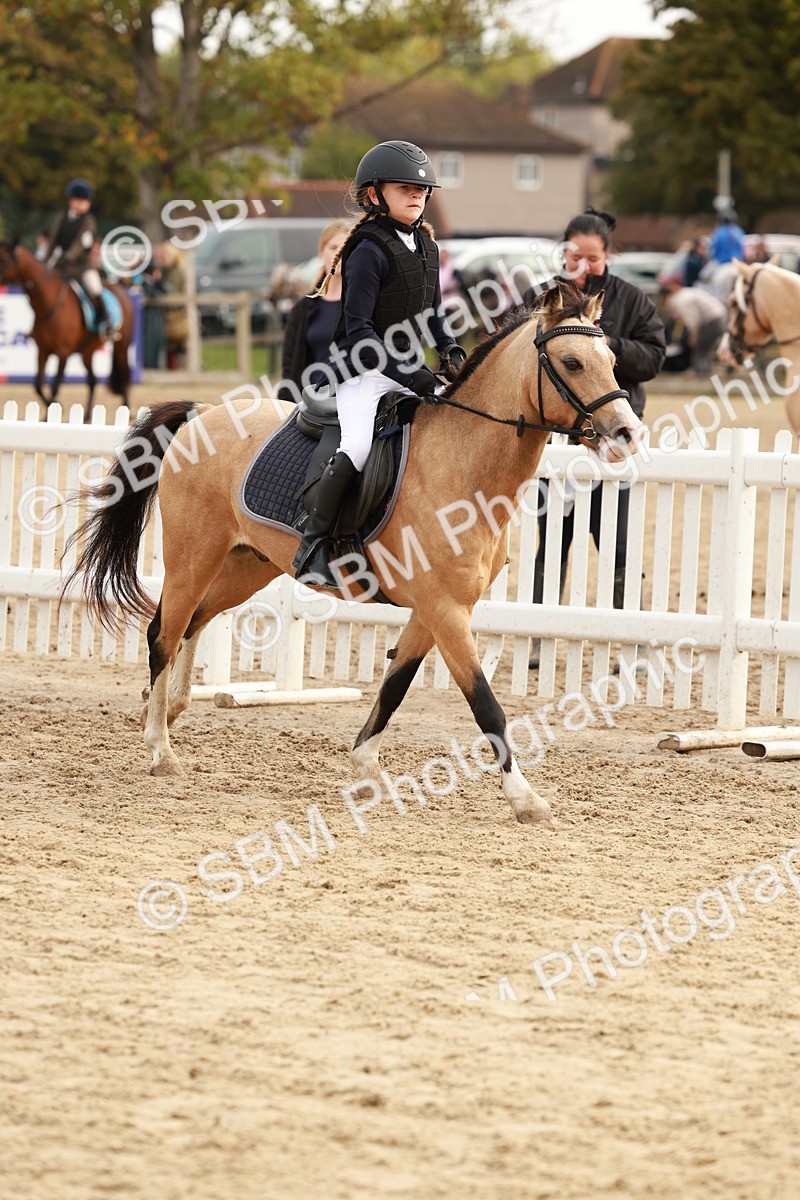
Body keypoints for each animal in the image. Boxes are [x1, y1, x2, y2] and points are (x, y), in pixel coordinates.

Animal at [0, 238, 135, 421]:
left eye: (5, 258)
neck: (49, 304)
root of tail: (122, 290)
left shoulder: (63, 353)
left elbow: (55, 385)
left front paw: (52, 412)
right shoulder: (42, 351)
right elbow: (37, 385)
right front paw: (52, 410)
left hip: (122, 345)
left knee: (125, 373)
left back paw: (126, 407)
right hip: (87, 352)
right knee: (92, 380)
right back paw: (87, 415)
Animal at [63, 285, 644, 828]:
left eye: (612, 360)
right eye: (571, 362)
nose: (627, 435)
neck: (462, 461)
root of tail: (202, 413)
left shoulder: (434, 612)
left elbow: (395, 687)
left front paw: (368, 769)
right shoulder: (446, 612)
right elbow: (486, 705)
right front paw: (526, 799)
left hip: (246, 566)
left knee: (194, 622)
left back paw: (169, 709)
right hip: (192, 559)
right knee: (162, 634)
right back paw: (160, 748)